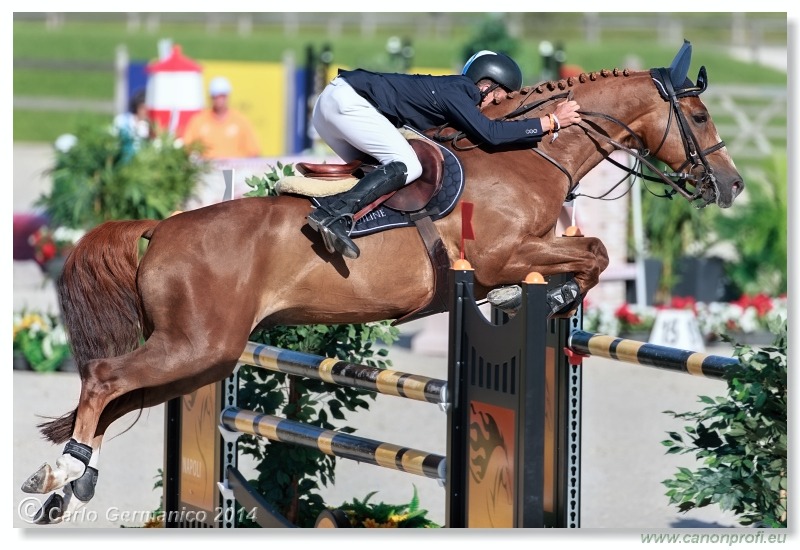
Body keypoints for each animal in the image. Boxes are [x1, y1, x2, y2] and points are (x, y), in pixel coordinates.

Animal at [20, 44, 744, 528]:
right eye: (703, 116)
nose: (732, 185)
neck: (524, 157)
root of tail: (162, 228)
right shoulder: (501, 254)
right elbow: (590, 254)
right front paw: (551, 297)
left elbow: (588, 252)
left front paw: (536, 298)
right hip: (195, 345)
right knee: (107, 379)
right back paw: (63, 473)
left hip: (203, 354)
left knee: (119, 395)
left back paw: (66, 483)